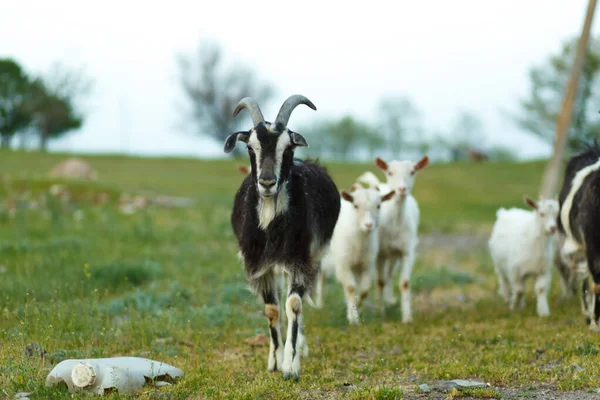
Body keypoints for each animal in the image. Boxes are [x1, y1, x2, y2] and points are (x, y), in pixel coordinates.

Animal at [224, 94, 340, 382]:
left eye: (288, 148)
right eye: (250, 147)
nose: (267, 182)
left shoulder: (300, 258)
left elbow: (295, 304)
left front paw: (291, 366)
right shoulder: (259, 264)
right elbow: (272, 310)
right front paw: (274, 361)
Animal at [322, 186, 396, 324]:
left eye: (378, 206)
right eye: (355, 205)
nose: (368, 225)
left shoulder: (367, 265)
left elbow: (364, 291)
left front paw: (357, 310)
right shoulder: (343, 264)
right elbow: (351, 288)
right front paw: (353, 318)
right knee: (322, 277)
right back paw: (320, 304)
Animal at [356, 155, 426, 324]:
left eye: (412, 172)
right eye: (390, 172)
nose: (401, 189)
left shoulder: (407, 251)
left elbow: (405, 283)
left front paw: (407, 317)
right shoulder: (380, 253)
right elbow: (380, 282)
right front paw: (382, 313)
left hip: (394, 254)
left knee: (390, 274)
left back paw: (389, 299)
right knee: (384, 277)